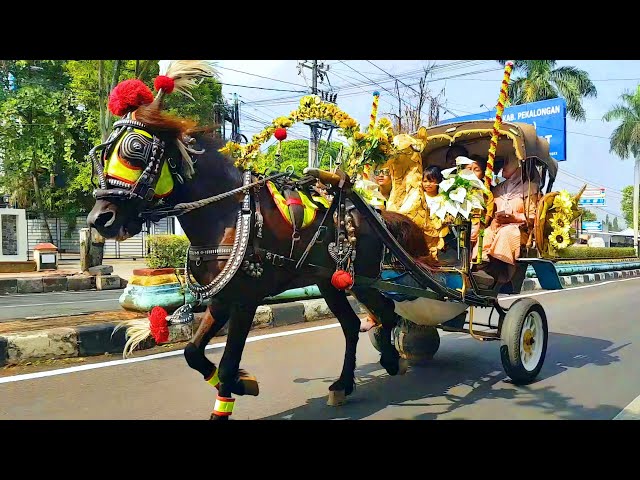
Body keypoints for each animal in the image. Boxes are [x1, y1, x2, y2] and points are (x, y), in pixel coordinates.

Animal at [86, 64, 430, 420]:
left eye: (135, 149)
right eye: (102, 154)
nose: (99, 220)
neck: (226, 214)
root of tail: (375, 213)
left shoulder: (245, 300)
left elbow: (226, 363)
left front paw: (228, 395)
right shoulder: (222, 297)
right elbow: (192, 352)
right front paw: (243, 383)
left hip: (360, 277)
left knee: (386, 311)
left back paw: (392, 360)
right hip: (329, 281)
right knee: (351, 324)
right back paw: (342, 385)